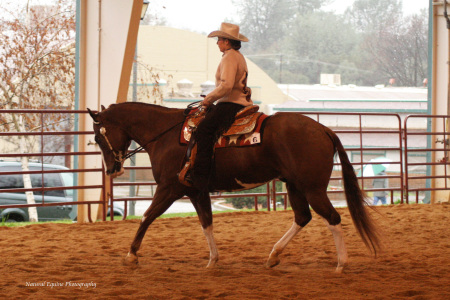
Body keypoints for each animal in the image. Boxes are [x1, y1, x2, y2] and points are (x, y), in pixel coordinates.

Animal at [87, 102, 380, 274]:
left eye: (98, 137)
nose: (112, 170)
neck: (167, 135)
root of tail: (323, 129)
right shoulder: (196, 191)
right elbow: (206, 222)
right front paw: (213, 260)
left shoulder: (170, 188)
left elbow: (147, 217)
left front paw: (130, 256)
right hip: (295, 186)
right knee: (302, 217)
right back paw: (273, 255)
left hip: (313, 188)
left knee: (333, 217)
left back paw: (341, 264)